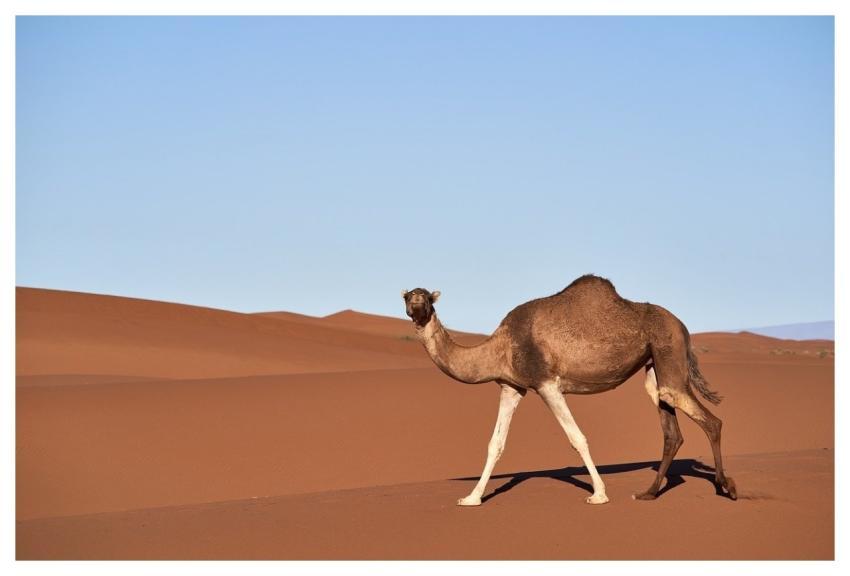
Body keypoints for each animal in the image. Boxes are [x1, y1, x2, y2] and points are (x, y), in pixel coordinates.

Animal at [402, 274, 736, 506]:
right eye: (406, 296)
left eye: (428, 297)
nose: (417, 304)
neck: (501, 345)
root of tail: (683, 326)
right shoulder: (512, 386)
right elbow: (495, 444)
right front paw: (471, 498)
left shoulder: (546, 382)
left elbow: (577, 438)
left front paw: (599, 494)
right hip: (654, 364)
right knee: (670, 428)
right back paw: (649, 493)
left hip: (669, 351)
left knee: (709, 419)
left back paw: (727, 487)